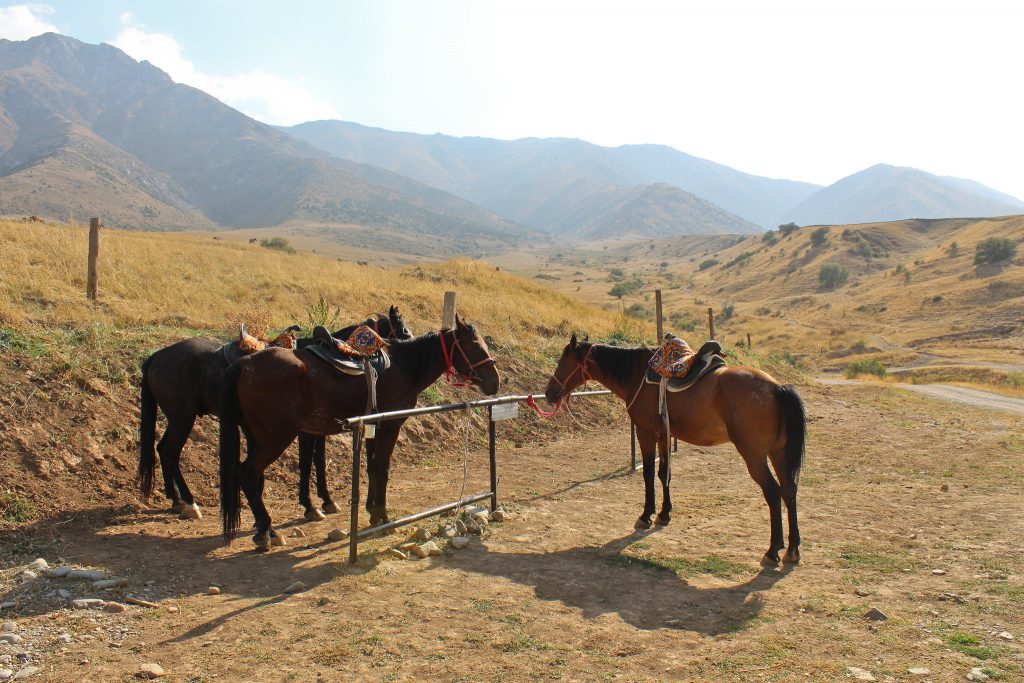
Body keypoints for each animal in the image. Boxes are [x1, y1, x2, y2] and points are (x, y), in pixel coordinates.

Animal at [140, 307, 411, 520]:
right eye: (401, 326)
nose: (409, 338)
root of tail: (156, 356)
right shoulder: (307, 431)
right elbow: (308, 462)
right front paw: (311, 505)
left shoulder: (315, 429)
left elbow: (318, 460)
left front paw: (325, 500)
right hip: (183, 418)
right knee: (170, 452)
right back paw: (189, 502)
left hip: (178, 419)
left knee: (162, 449)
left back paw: (175, 499)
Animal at [220, 319, 499, 548]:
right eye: (475, 346)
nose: (495, 381)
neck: (404, 366)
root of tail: (245, 364)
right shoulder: (390, 426)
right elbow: (382, 467)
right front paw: (383, 515)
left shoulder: (372, 426)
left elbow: (371, 467)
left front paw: (372, 511)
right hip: (276, 438)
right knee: (247, 472)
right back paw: (268, 530)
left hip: (256, 435)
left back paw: (264, 528)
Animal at [548, 335, 802, 565]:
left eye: (563, 361)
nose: (550, 393)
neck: (637, 375)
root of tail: (777, 387)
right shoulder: (664, 434)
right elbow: (664, 474)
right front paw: (664, 513)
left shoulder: (645, 432)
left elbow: (648, 473)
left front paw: (646, 515)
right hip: (778, 453)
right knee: (789, 490)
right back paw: (792, 550)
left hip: (754, 456)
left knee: (773, 492)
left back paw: (772, 551)